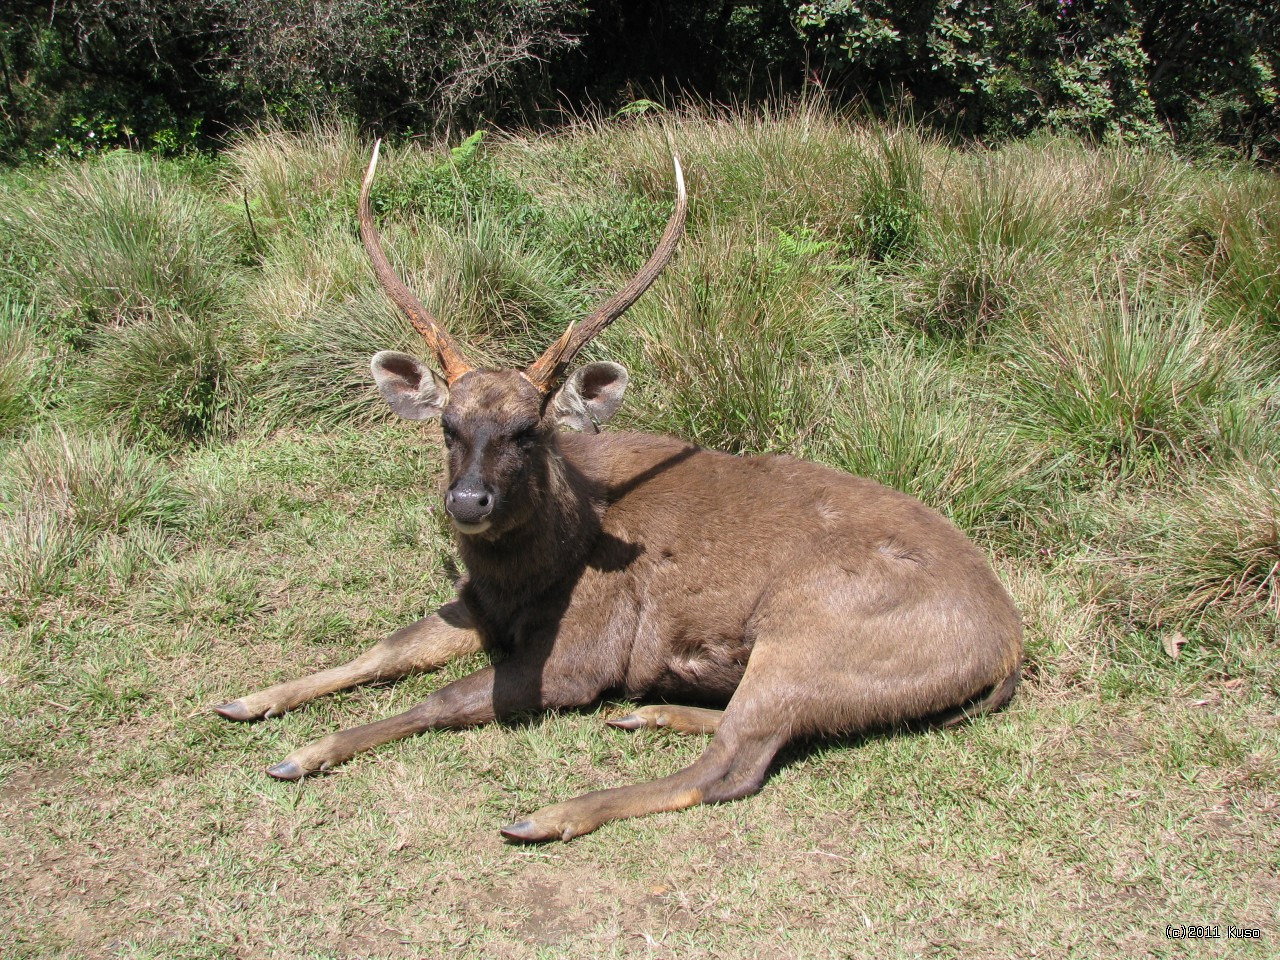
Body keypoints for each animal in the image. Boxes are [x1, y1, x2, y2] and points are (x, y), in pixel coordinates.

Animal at [217, 142, 1018, 839]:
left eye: (530, 431)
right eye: (447, 426)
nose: (468, 503)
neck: (538, 570)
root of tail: (1010, 646)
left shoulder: (584, 653)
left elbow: (441, 697)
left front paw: (303, 753)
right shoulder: (477, 604)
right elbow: (385, 651)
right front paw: (249, 700)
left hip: (813, 627)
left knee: (734, 766)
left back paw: (549, 814)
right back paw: (650, 714)